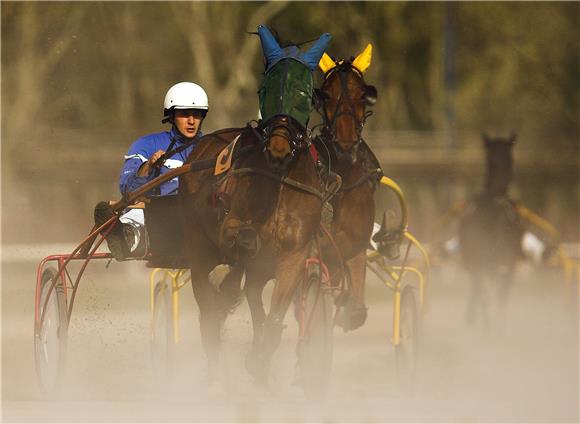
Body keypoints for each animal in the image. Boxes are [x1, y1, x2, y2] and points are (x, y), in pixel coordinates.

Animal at [460, 134, 524, 326]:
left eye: (509, 158)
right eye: (490, 160)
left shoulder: (508, 264)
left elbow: (499, 297)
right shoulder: (480, 264)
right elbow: (486, 296)